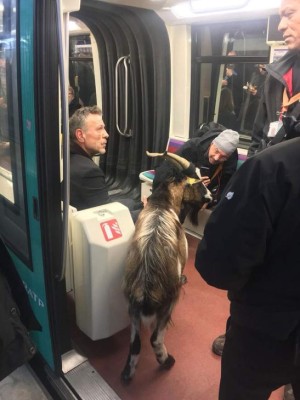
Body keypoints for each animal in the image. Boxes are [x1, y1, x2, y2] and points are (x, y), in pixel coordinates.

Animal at [120, 152, 211, 382]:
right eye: (197, 180)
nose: (210, 197)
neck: (162, 204)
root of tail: (145, 287)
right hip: (169, 303)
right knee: (155, 338)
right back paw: (167, 361)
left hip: (131, 307)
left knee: (136, 343)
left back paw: (127, 373)